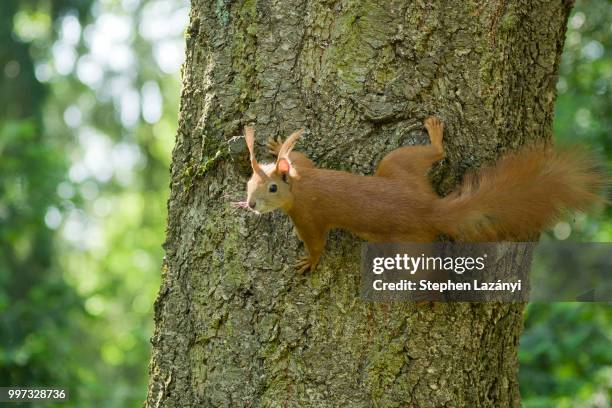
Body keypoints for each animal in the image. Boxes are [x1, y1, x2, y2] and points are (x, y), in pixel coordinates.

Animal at [239, 116, 608, 272]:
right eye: (249, 182)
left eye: (272, 188)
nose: (251, 204)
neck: (300, 186)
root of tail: (428, 209)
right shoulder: (304, 167)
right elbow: (300, 155)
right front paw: (276, 145)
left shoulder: (307, 216)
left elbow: (316, 243)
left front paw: (309, 261)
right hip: (398, 166)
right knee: (430, 153)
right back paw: (435, 134)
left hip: (409, 244)